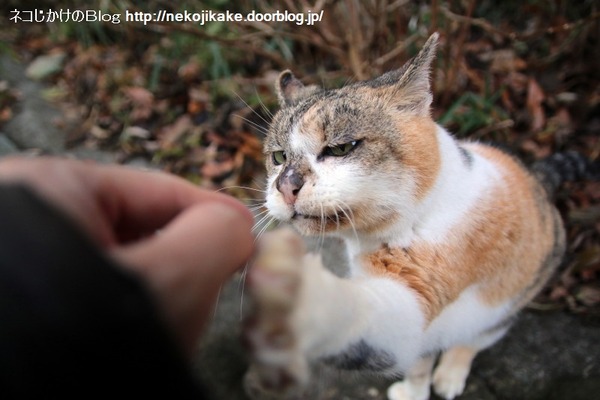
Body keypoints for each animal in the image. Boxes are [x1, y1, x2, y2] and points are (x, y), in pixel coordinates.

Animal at [243, 33, 584, 400]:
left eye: (340, 148)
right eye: (278, 157)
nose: (285, 185)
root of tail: (539, 179)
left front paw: (302, 297)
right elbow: (418, 362)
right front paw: (414, 390)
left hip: (505, 306)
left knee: (472, 340)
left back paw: (450, 373)